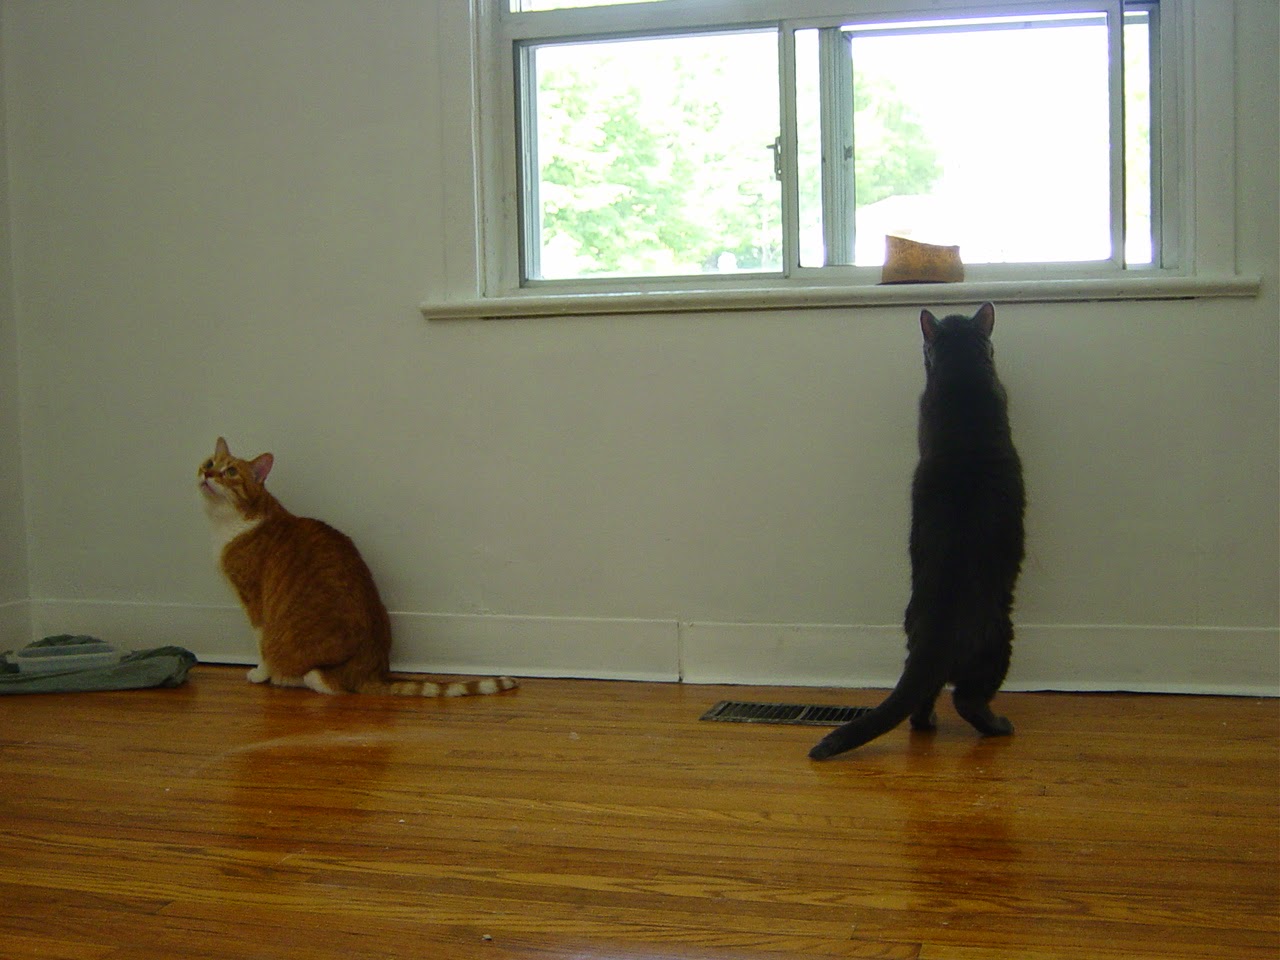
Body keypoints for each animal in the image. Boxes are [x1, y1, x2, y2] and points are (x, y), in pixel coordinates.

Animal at [198, 437, 518, 698]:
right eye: (210, 463)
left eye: (230, 472)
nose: (207, 474)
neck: (226, 523)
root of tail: (374, 672)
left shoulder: (254, 602)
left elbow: (262, 645)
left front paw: (259, 674)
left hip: (312, 664)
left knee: (324, 682)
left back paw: (285, 677)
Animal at [810, 302, 1025, 759]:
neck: (962, 379)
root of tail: (935, 635)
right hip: (999, 641)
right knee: (967, 699)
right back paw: (999, 726)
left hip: (913, 635)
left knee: (922, 697)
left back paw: (928, 724)